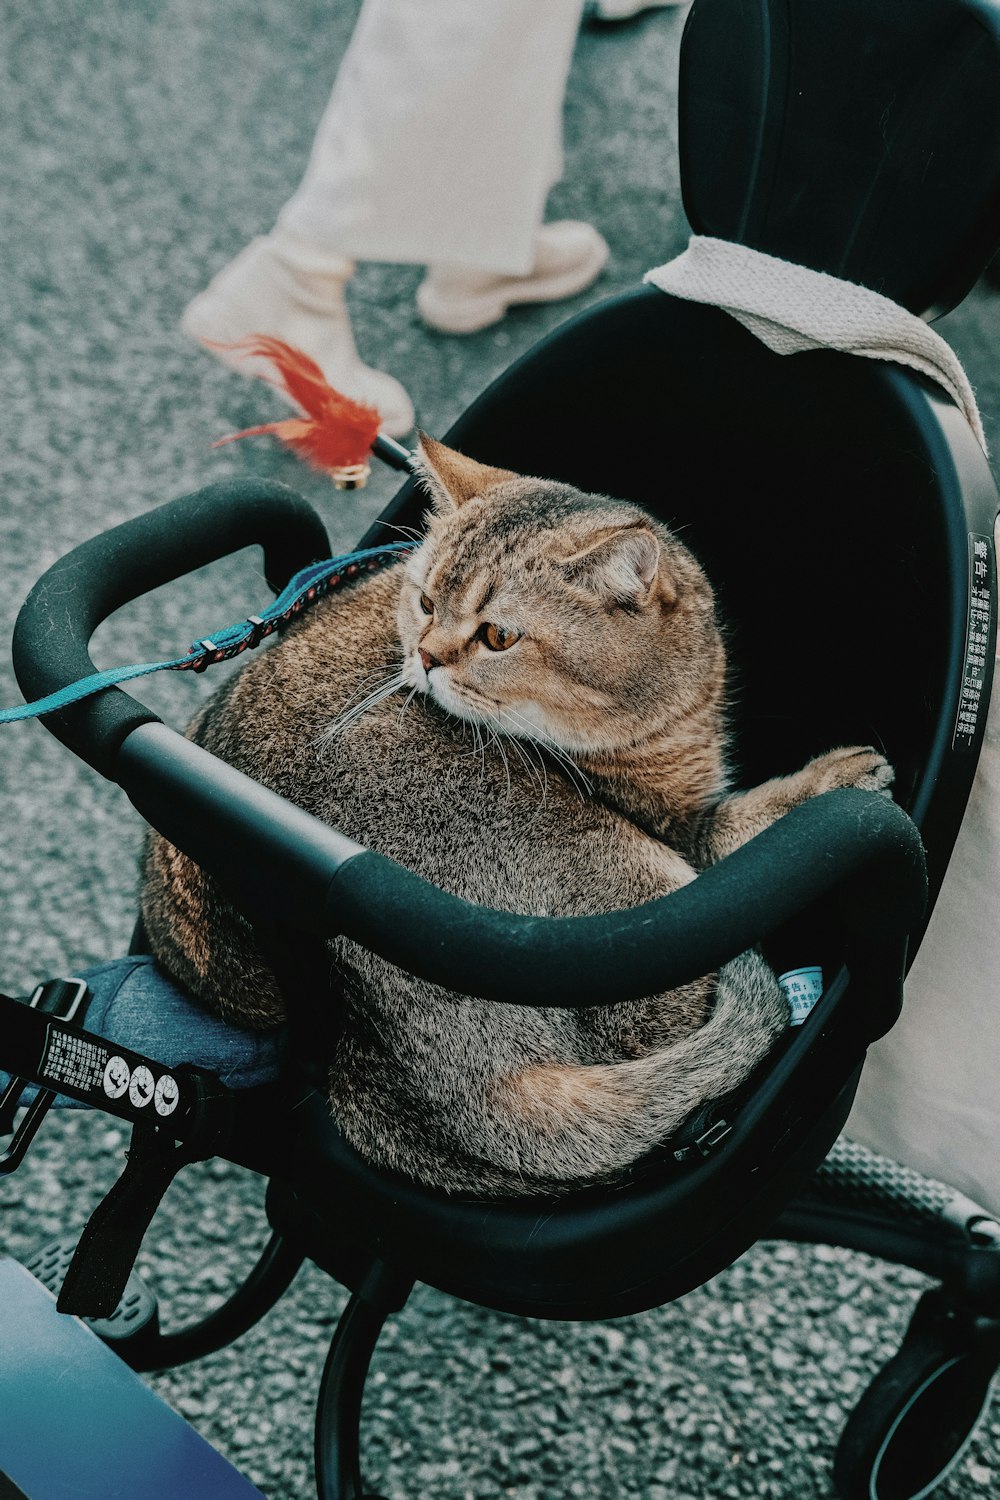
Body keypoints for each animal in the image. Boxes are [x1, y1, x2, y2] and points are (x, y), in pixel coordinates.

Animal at [138, 435, 893, 1194]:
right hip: (646, 890)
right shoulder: (682, 832)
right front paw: (833, 776)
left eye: (498, 635)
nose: (425, 656)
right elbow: (746, 821)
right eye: (426, 601)